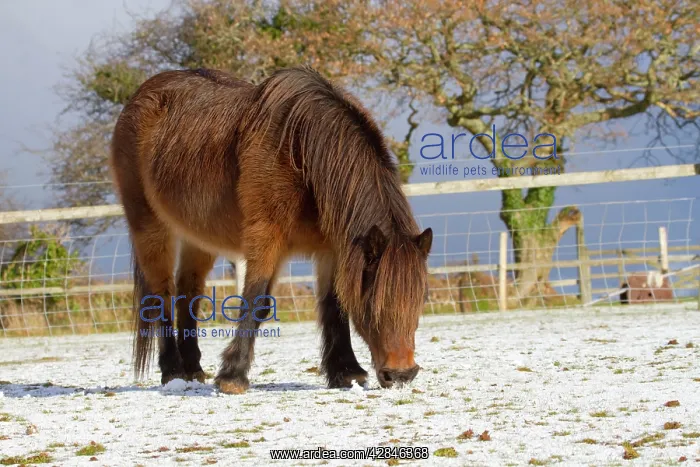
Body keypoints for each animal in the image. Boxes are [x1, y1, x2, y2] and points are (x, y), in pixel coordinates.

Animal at [109, 66, 433, 394]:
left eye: (419, 299)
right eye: (373, 303)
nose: (401, 374)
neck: (300, 152)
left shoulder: (331, 249)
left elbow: (334, 304)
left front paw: (346, 372)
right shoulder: (266, 237)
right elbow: (256, 301)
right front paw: (233, 376)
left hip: (197, 238)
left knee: (188, 293)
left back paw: (193, 370)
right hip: (149, 225)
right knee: (161, 295)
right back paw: (172, 371)